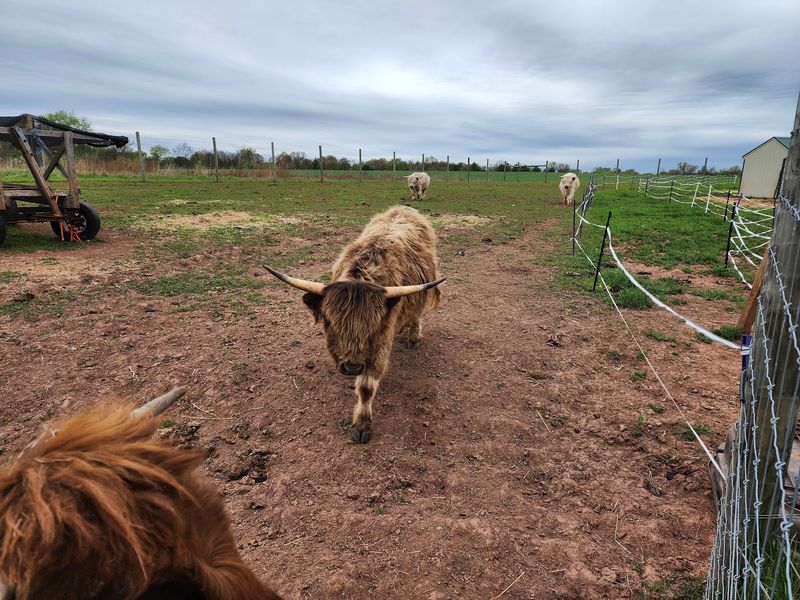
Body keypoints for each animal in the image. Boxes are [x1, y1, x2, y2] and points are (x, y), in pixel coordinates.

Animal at [265, 205, 445, 443]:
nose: (351, 367)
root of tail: (404, 208)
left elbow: (367, 387)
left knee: (417, 312)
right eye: (330, 322)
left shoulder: (381, 341)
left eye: (373, 325)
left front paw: (362, 426)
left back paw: (413, 337)